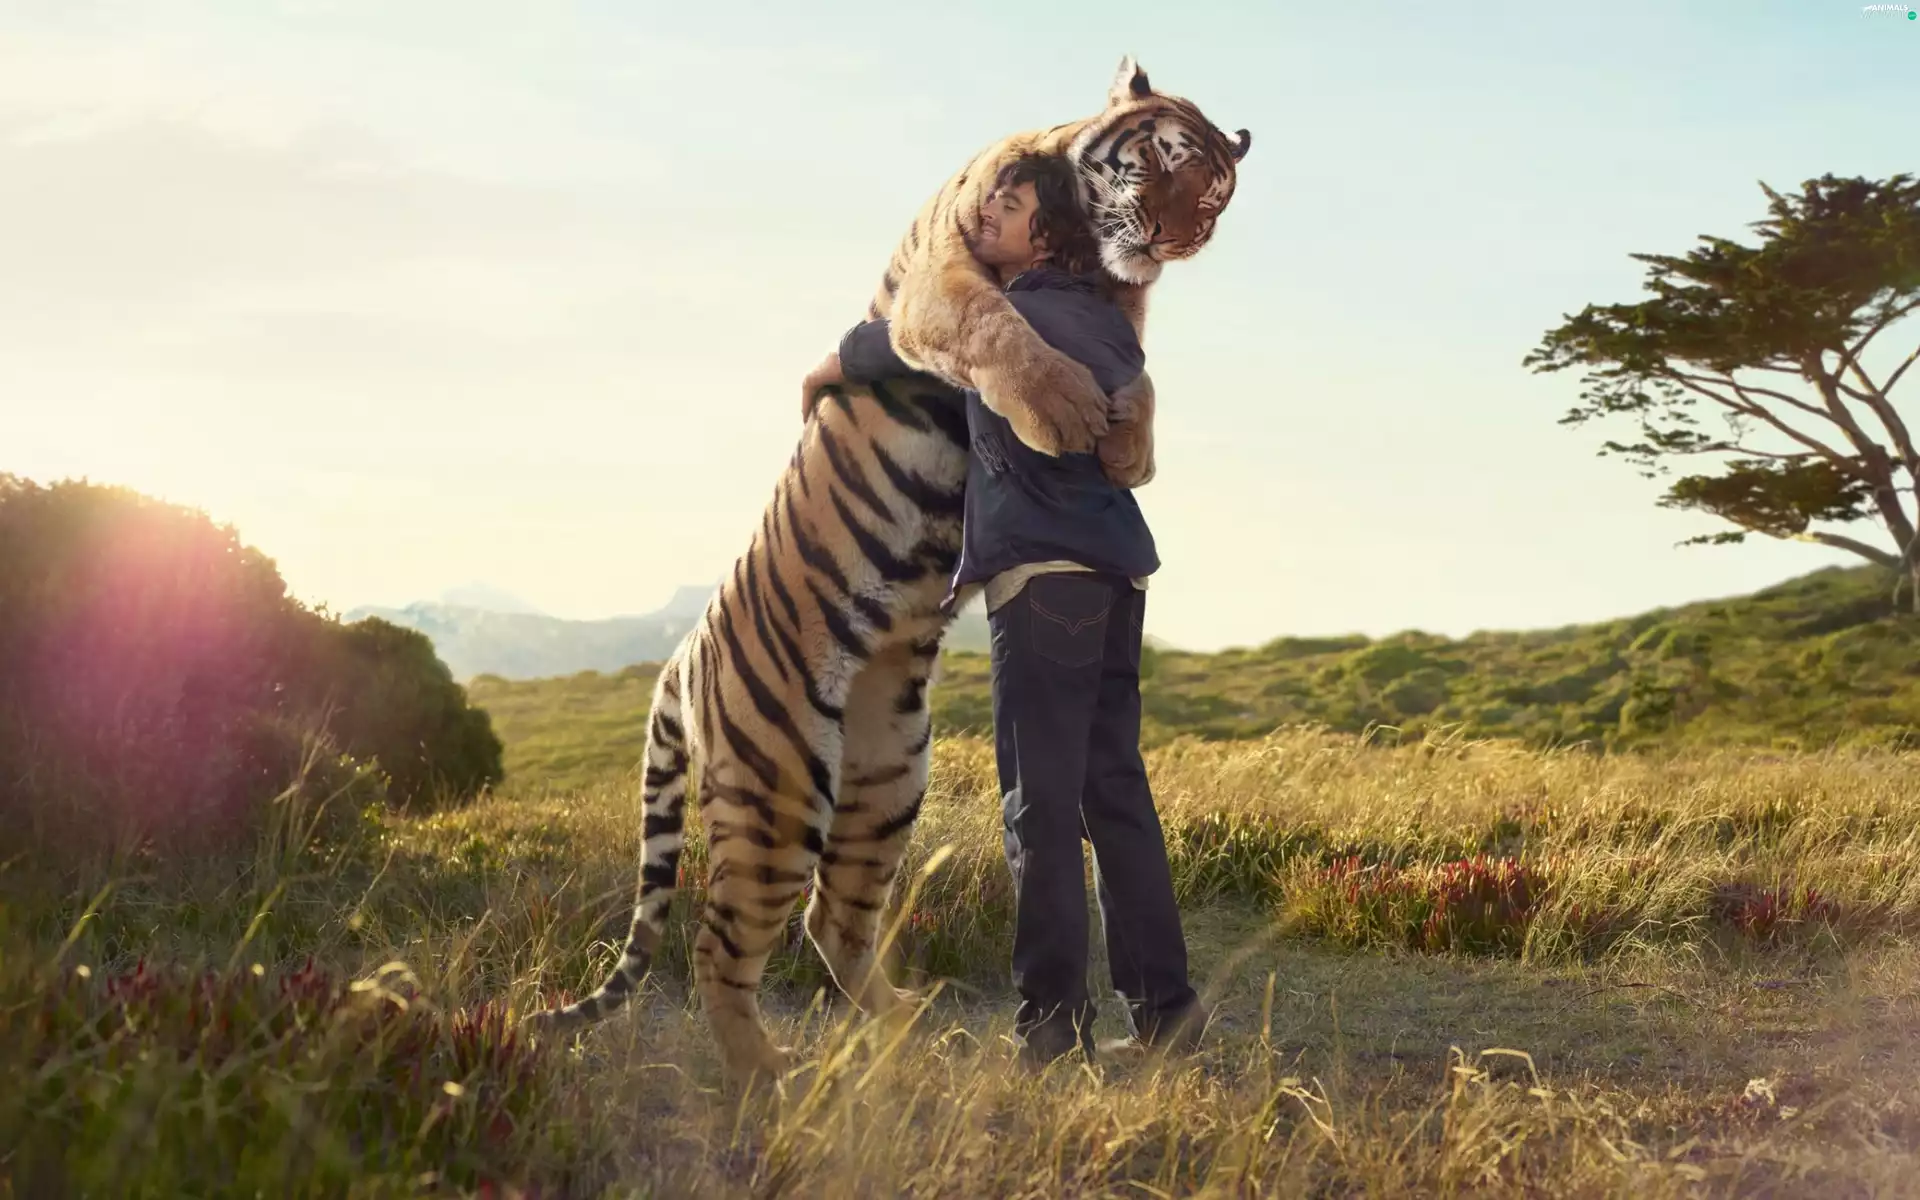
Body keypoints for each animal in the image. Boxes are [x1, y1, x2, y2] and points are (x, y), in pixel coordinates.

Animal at [520, 55, 1250, 1086]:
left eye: (1217, 198)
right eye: (1166, 161)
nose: (1176, 237)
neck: (1083, 252)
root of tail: (680, 657)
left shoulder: (1124, 317)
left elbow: (1138, 374)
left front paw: (1127, 446)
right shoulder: (943, 283)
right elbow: (998, 327)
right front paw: (1066, 412)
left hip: (886, 778)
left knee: (831, 919)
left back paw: (910, 1026)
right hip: (781, 792)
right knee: (719, 945)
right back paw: (769, 1075)